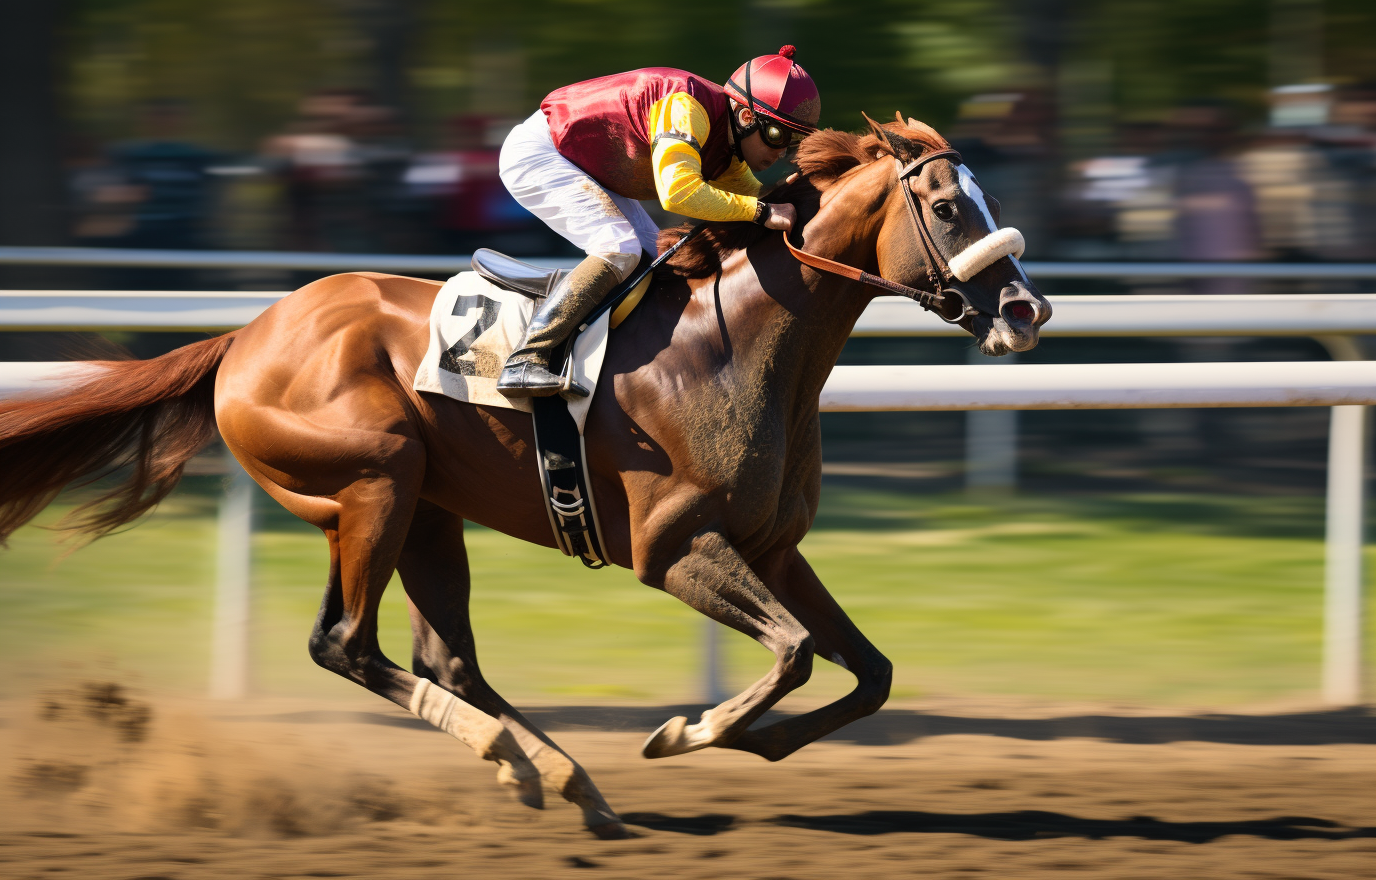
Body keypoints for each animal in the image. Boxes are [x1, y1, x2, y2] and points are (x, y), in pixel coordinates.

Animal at [0, 116, 1045, 836]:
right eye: (947, 206)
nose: (1026, 310)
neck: (738, 344)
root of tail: (246, 337)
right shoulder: (672, 548)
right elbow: (791, 652)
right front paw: (691, 730)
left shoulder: (773, 546)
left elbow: (869, 673)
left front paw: (751, 738)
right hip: (373, 485)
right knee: (345, 644)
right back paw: (517, 756)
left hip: (428, 511)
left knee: (446, 659)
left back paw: (566, 780)